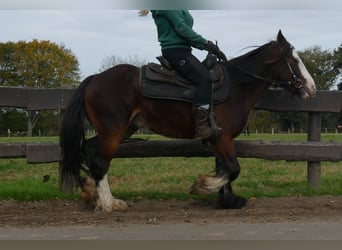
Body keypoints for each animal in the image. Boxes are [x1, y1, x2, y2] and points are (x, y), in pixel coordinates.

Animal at [59, 30, 316, 212]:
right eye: (294, 60)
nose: (312, 88)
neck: (237, 86)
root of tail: (94, 79)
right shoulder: (222, 137)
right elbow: (233, 169)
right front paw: (203, 186)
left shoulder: (219, 138)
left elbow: (225, 167)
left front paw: (228, 200)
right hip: (113, 132)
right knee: (100, 163)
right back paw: (108, 203)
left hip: (120, 131)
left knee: (88, 150)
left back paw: (90, 191)